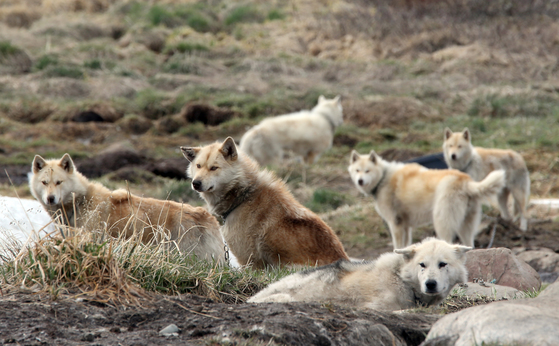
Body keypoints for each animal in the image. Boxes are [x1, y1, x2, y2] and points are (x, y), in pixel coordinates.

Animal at [249, 238, 472, 310]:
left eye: (443, 264)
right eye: (422, 265)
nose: (430, 284)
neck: (402, 280)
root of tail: (250, 299)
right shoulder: (377, 306)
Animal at [348, 150, 506, 247]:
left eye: (367, 170)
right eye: (357, 170)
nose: (360, 181)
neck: (383, 177)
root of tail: (466, 181)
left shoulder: (395, 224)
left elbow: (397, 246)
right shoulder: (406, 226)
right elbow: (405, 245)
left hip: (442, 223)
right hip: (465, 225)